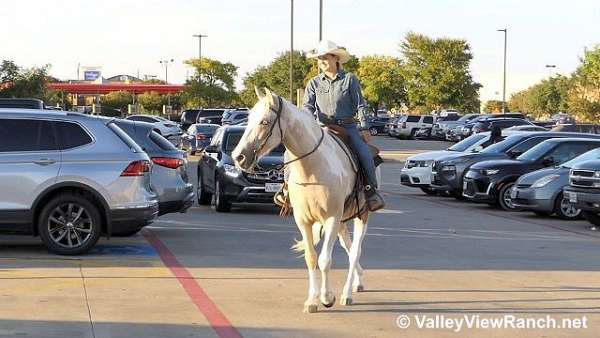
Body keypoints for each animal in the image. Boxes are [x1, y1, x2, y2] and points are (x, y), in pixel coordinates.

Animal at [232, 88, 368, 314]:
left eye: (264, 122)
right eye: (249, 119)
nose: (238, 157)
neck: (313, 168)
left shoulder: (332, 217)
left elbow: (325, 260)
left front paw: (326, 297)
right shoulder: (303, 220)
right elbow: (311, 258)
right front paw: (312, 300)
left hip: (361, 215)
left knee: (355, 251)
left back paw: (347, 293)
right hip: (343, 219)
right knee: (348, 247)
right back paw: (358, 281)